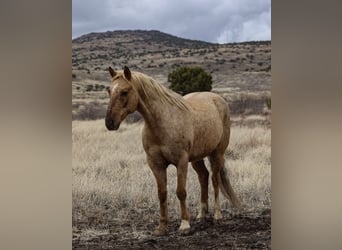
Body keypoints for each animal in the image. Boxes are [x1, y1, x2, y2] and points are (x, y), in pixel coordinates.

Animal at [105, 66, 240, 234]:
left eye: (124, 92)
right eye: (109, 91)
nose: (109, 122)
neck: (164, 123)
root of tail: (218, 99)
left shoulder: (181, 162)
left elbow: (181, 192)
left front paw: (185, 224)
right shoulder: (156, 164)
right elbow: (162, 193)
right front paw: (162, 226)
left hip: (217, 154)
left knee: (215, 179)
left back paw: (217, 215)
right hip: (197, 158)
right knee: (203, 177)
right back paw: (201, 214)